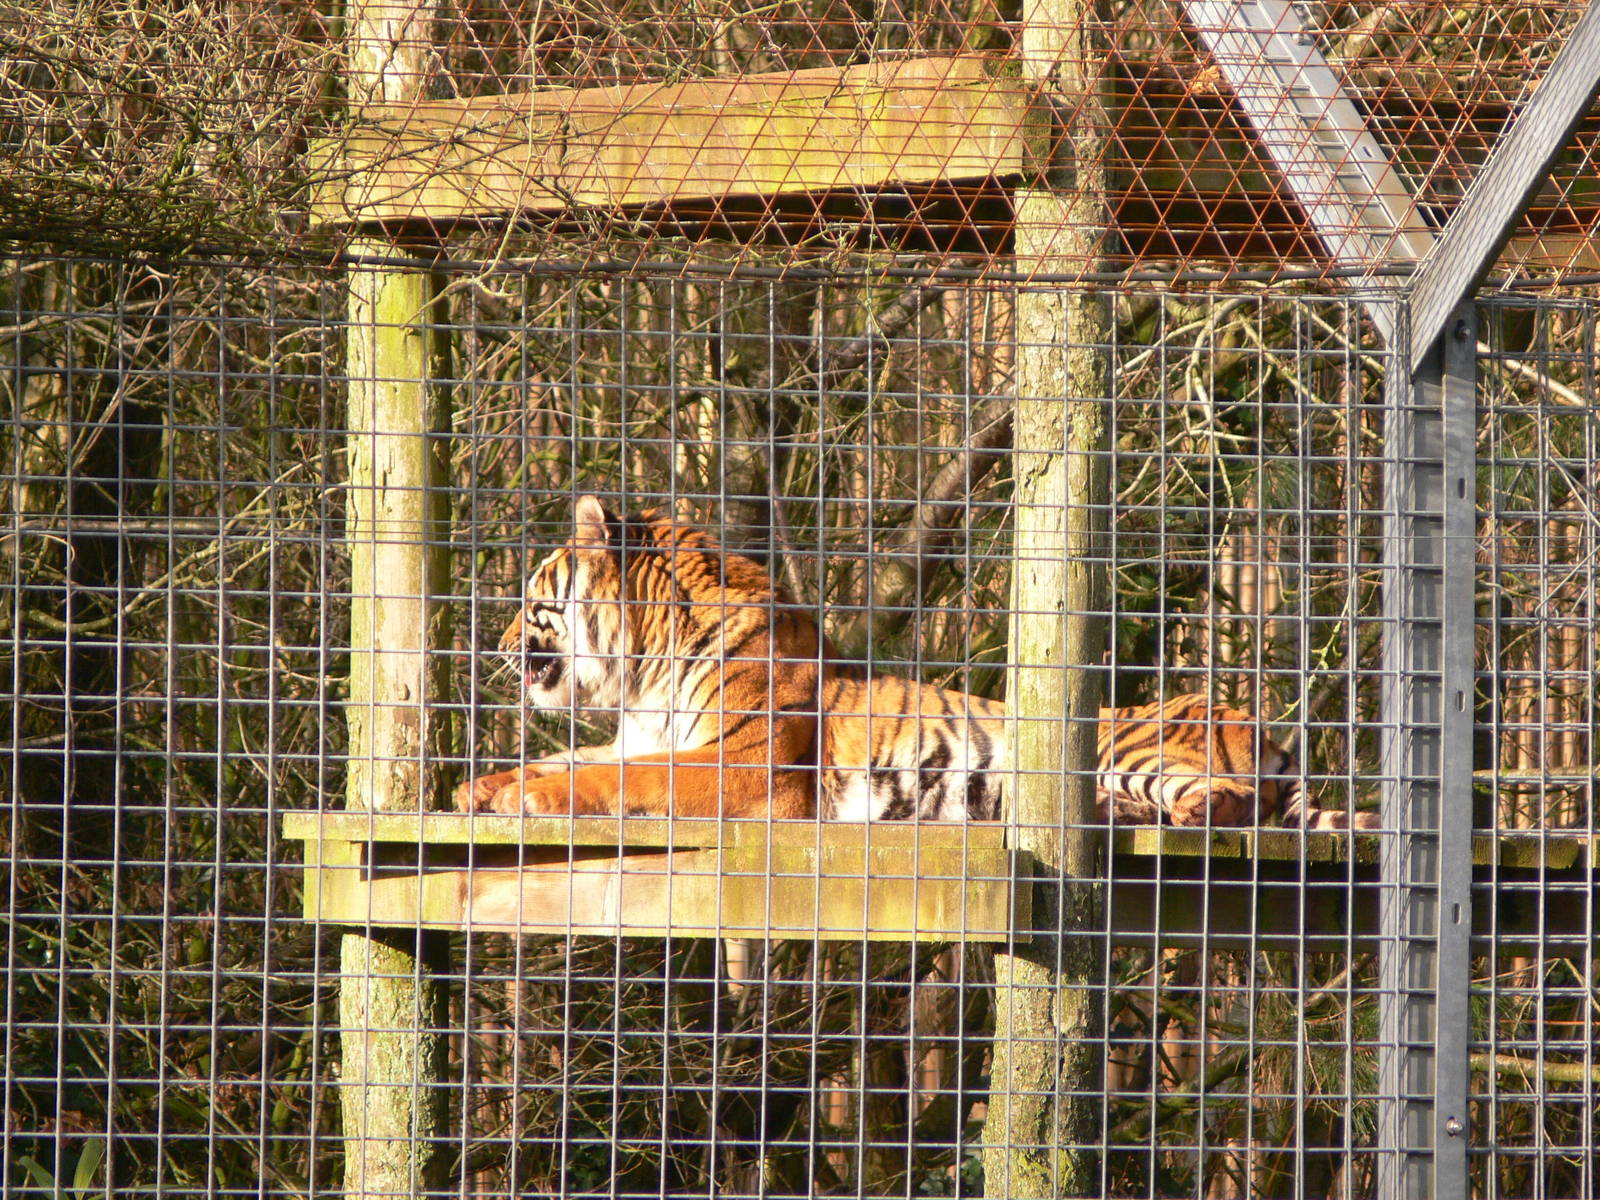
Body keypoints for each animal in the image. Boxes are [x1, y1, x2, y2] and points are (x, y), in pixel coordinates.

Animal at [454, 496, 1373, 830]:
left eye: (530, 596)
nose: (494, 645)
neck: (643, 669)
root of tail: (1261, 726)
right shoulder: (642, 735)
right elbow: (571, 756)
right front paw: (481, 789)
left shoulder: (747, 766)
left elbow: (616, 778)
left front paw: (528, 798)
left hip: (1131, 745)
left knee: (1229, 803)